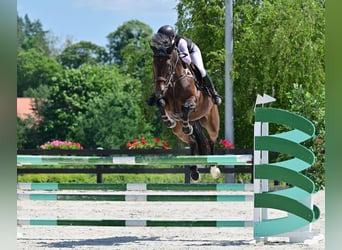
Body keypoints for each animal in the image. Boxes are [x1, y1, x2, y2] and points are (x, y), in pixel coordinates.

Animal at [150, 33, 220, 182]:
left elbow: (186, 107)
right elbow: (161, 103)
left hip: (212, 123)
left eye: (168, 65)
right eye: (154, 64)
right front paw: (168, 121)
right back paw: (194, 172)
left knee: (211, 140)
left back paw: (213, 168)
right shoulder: (168, 104)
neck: (174, 81)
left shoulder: (193, 101)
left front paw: (186, 125)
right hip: (178, 131)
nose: (159, 91)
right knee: (193, 141)